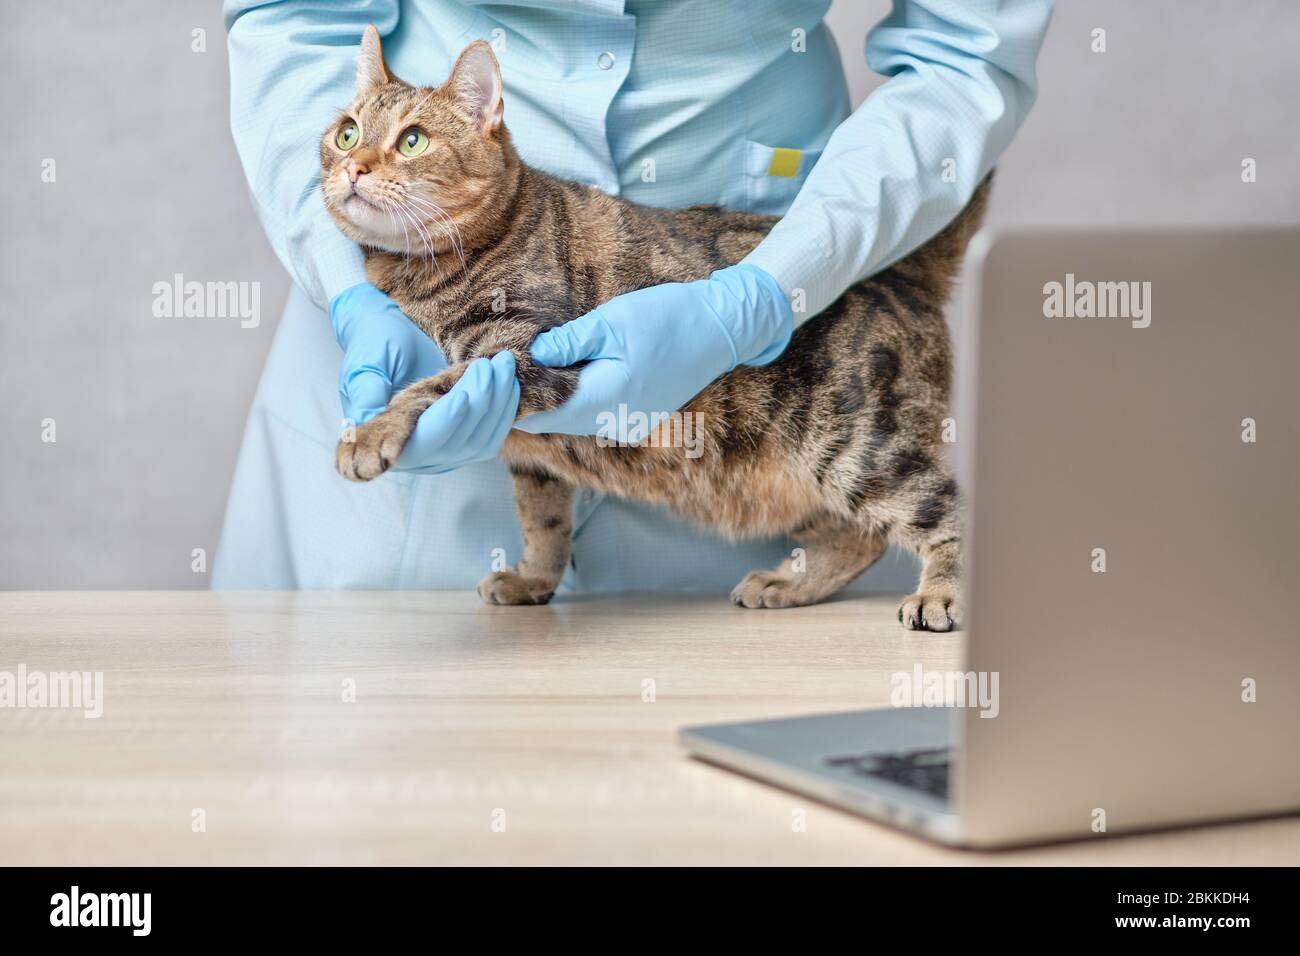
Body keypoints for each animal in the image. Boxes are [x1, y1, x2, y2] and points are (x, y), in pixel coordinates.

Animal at [322, 29, 982, 629]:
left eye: (412, 140)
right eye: (346, 131)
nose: (353, 164)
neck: (416, 280)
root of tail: (904, 273)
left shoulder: (517, 359)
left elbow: (429, 389)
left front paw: (367, 434)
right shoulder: (531, 452)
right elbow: (544, 521)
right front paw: (535, 579)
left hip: (859, 443)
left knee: (946, 509)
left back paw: (940, 596)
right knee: (857, 536)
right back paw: (788, 583)